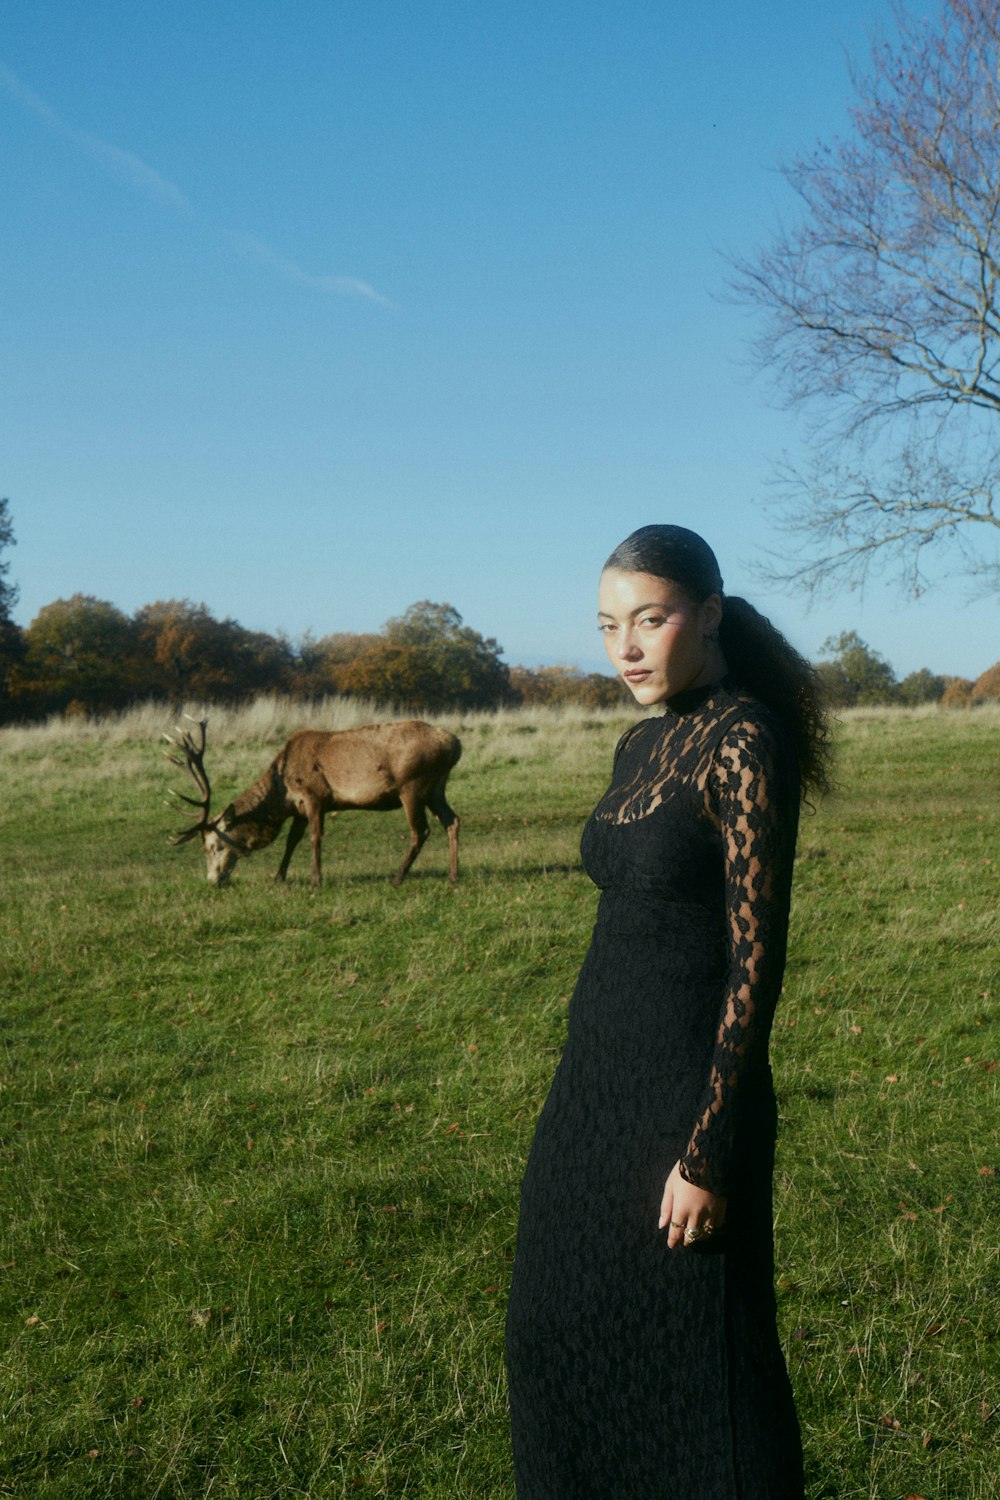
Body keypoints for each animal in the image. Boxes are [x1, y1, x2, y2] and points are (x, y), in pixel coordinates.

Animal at [164, 717, 461, 882]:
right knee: (452, 820)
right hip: (436, 788)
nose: (213, 880)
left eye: (213, 846)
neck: (283, 793)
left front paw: (316, 880)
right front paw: (279, 877)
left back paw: (397, 877)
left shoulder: (315, 795)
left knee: (420, 830)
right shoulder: (299, 808)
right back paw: (452, 875)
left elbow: (315, 838)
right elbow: (291, 840)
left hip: (413, 785)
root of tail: (456, 744)